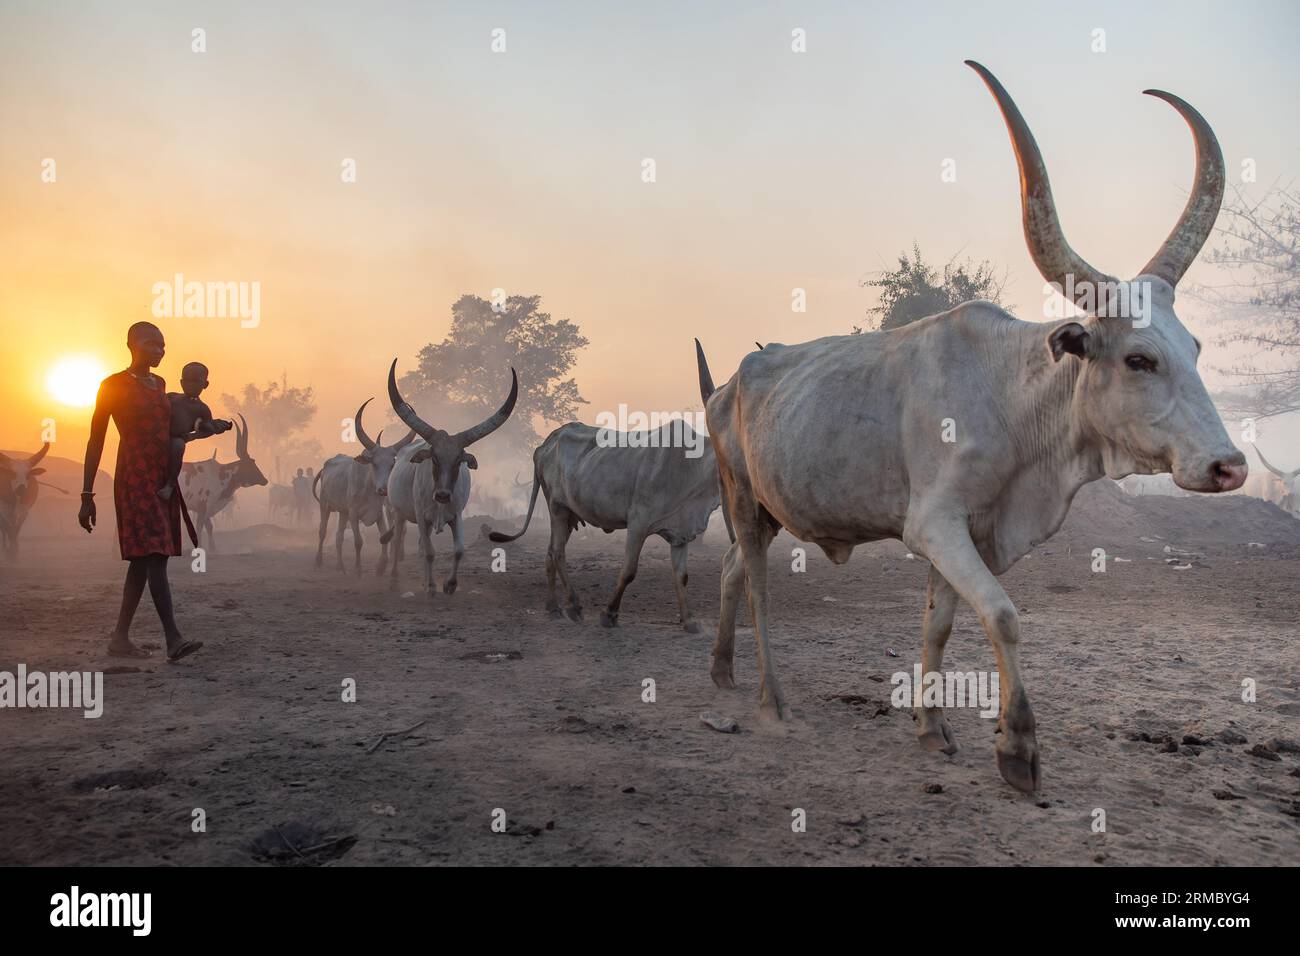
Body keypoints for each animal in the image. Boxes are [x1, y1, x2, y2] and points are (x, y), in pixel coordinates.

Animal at [488, 421, 722, 632]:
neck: (690, 466)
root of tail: (549, 440)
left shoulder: (680, 533)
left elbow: (682, 576)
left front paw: (689, 620)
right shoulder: (638, 524)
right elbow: (629, 571)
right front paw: (609, 614)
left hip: (568, 517)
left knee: (549, 553)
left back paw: (553, 607)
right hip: (558, 509)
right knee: (557, 552)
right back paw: (573, 605)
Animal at [696, 59, 1253, 790]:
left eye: (1194, 349)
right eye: (1139, 358)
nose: (1229, 465)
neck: (1012, 399)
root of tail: (731, 383)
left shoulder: (971, 533)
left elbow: (940, 624)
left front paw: (932, 730)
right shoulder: (935, 525)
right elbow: (1003, 614)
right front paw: (1017, 746)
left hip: (765, 508)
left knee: (732, 567)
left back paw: (722, 670)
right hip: (740, 496)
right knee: (756, 583)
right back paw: (772, 702)